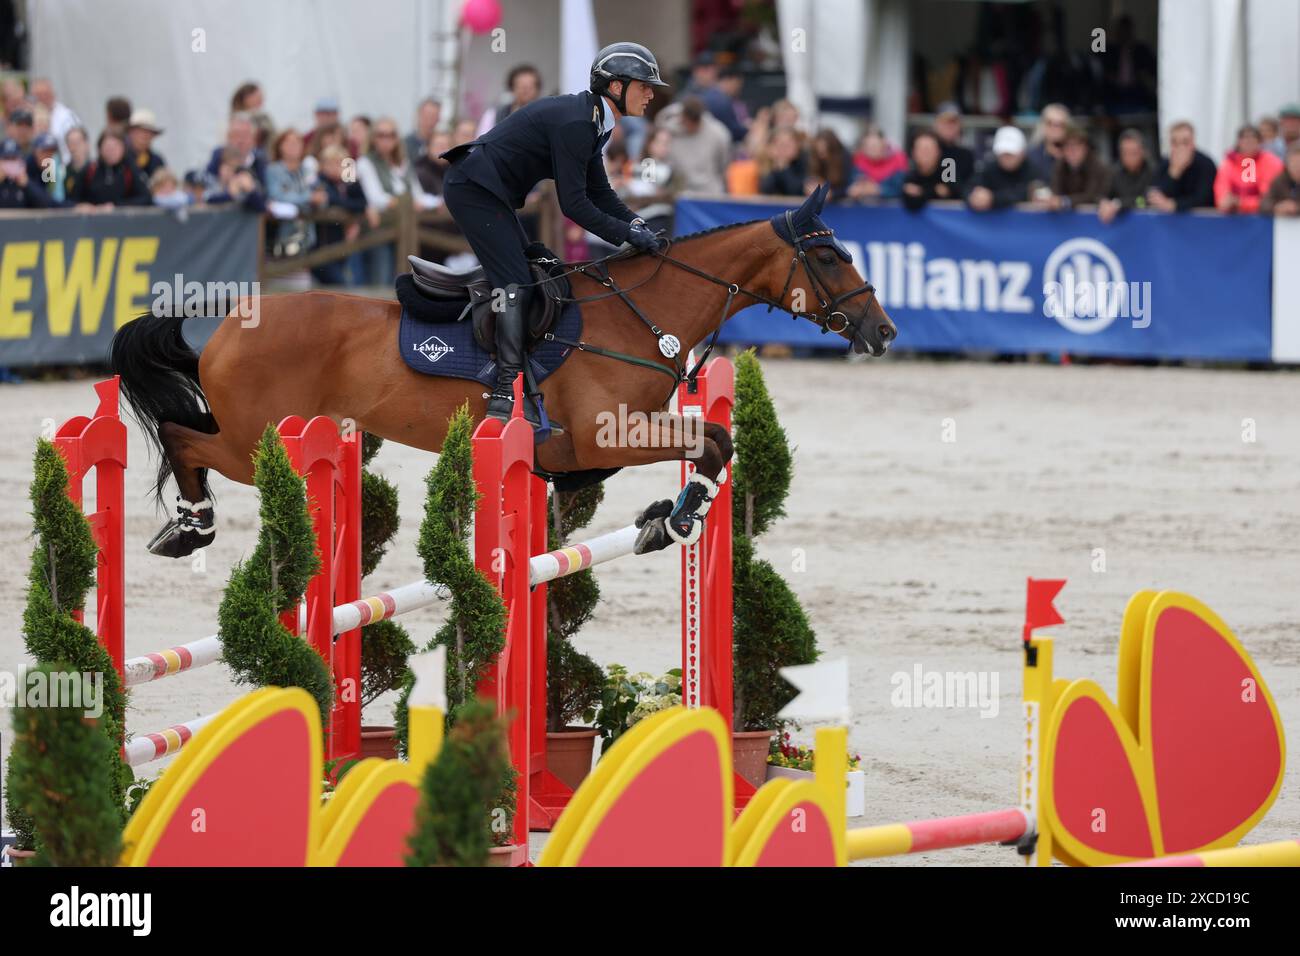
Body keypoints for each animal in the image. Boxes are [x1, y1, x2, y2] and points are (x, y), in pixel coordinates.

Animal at [111, 185, 894, 556]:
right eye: (830, 257)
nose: (883, 330)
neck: (637, 314)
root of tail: (227, 320)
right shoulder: (605, 432)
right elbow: (713, 441)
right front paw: (674, 520)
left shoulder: (593, 444)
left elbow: (709, 443)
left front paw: (660, 516)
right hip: (255, 443)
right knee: (184, 439)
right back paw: (190, 528)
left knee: (187, 435)